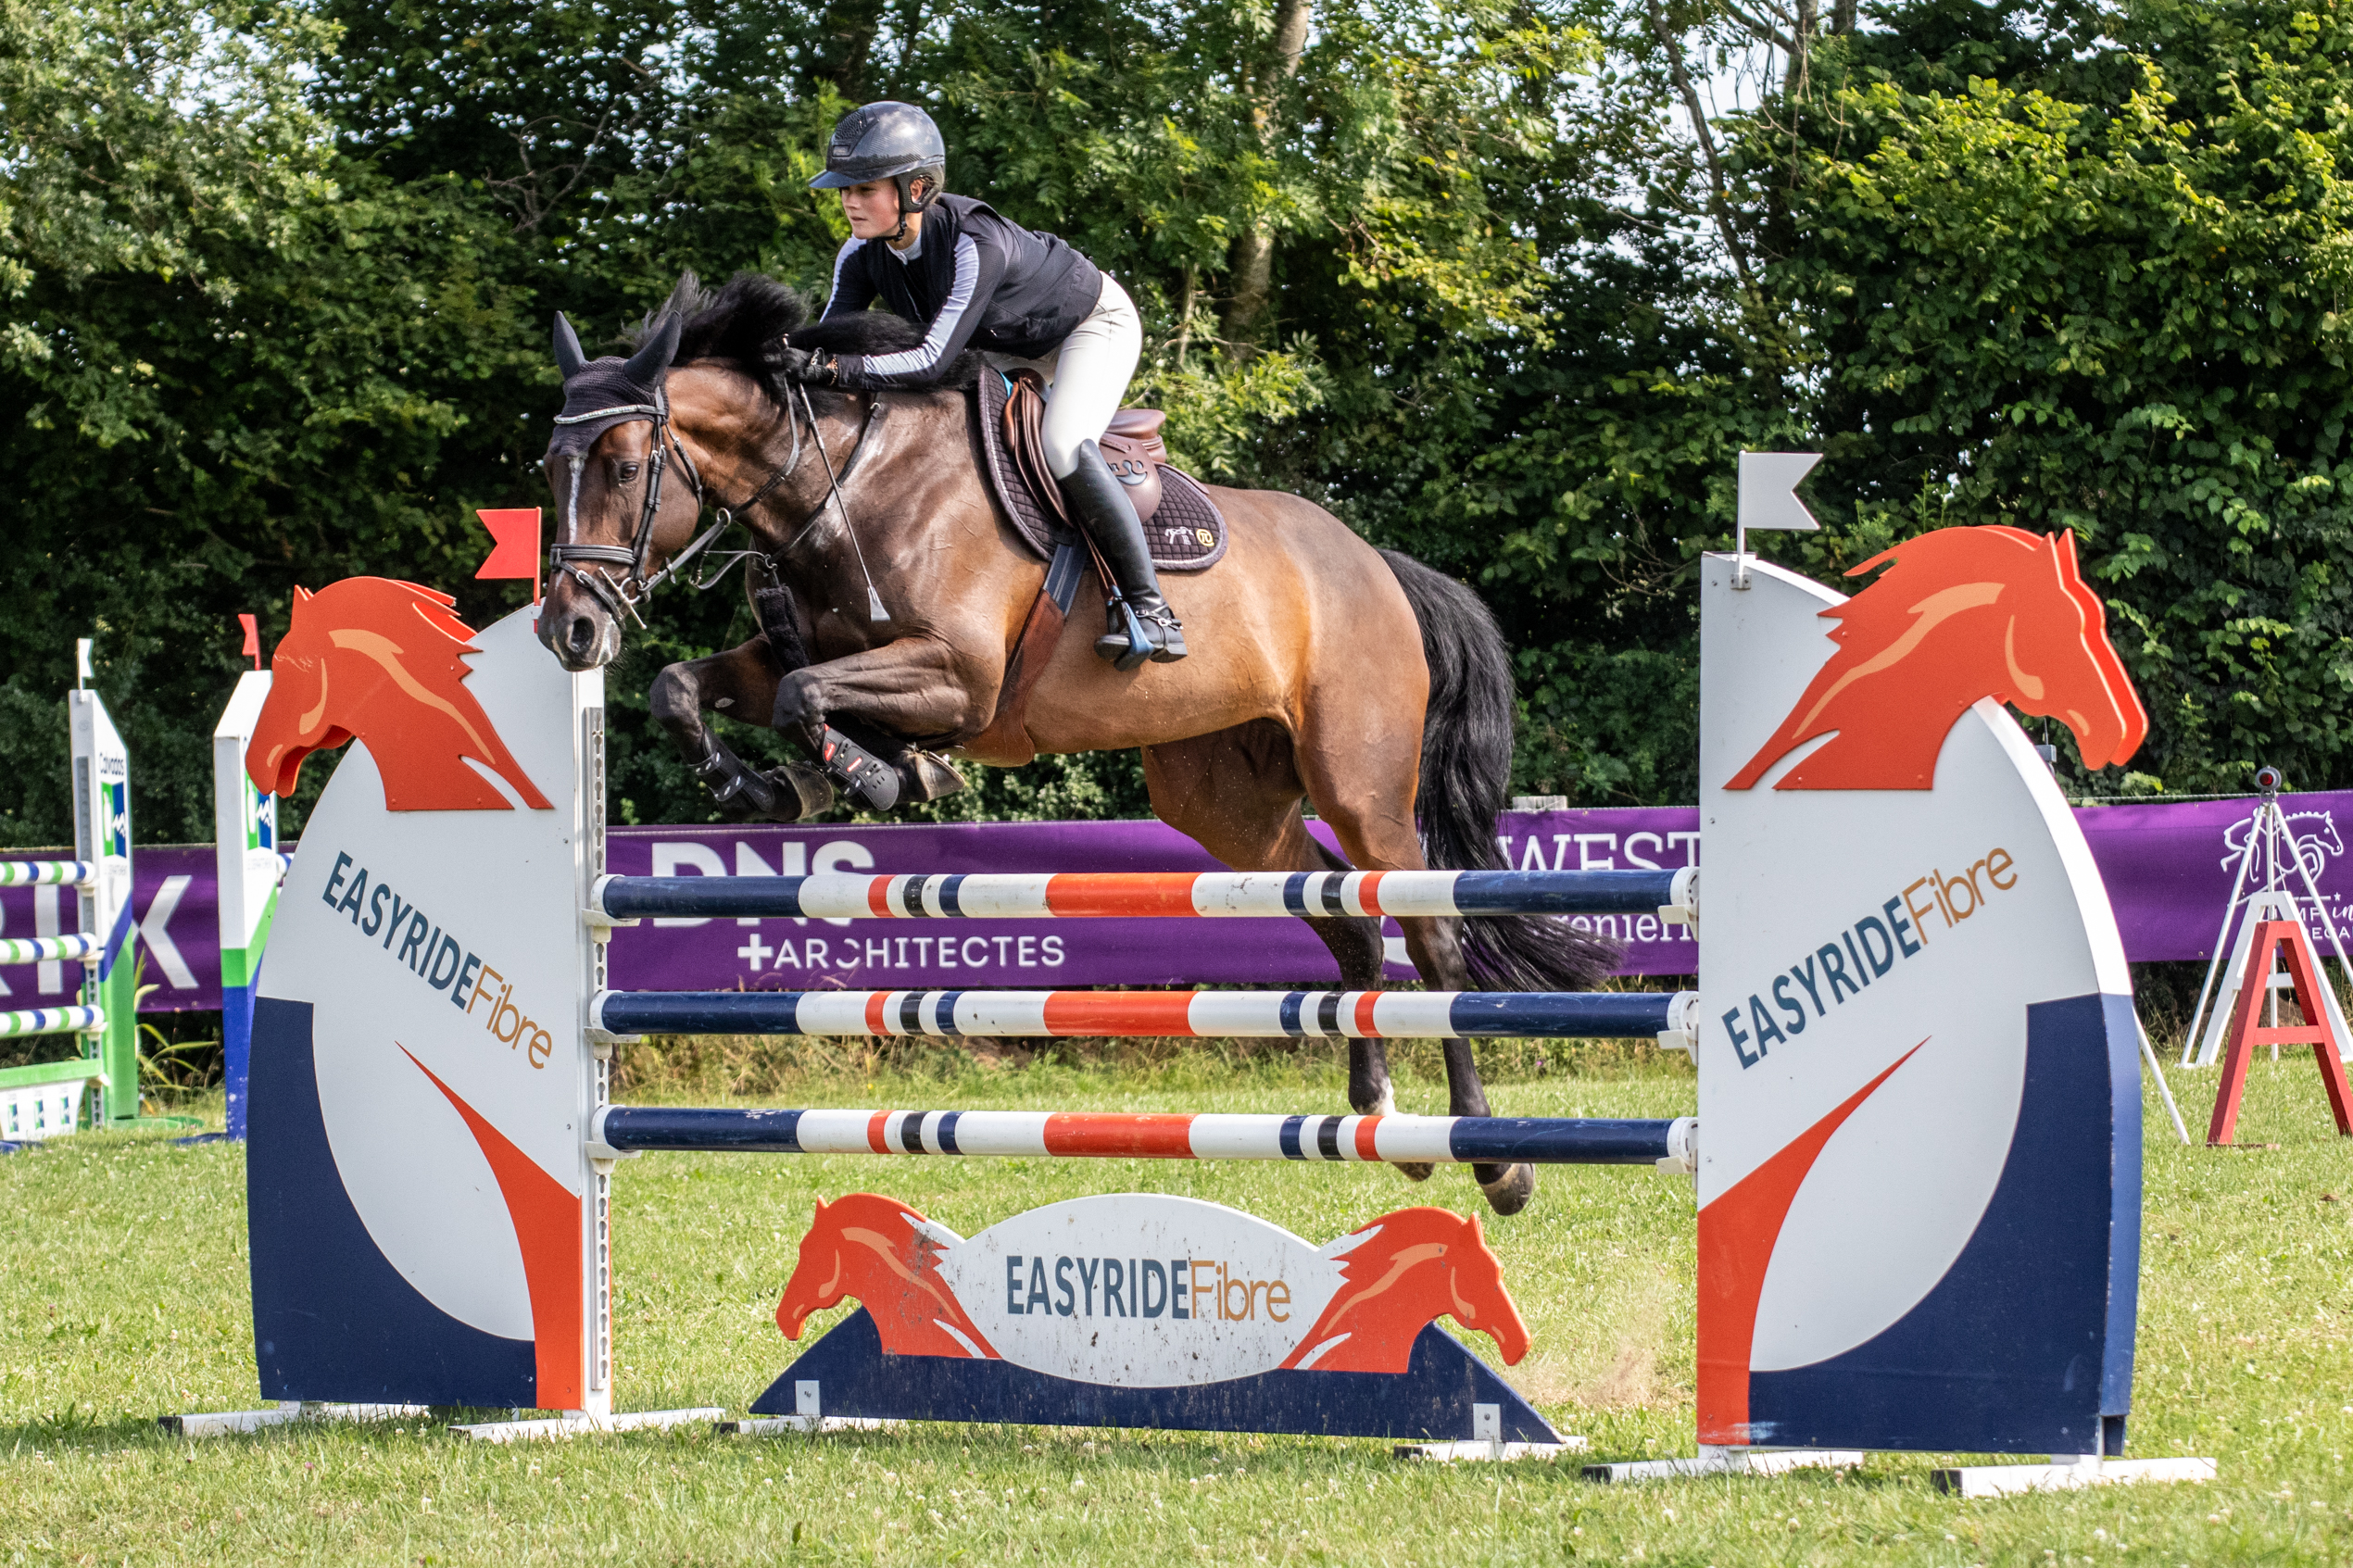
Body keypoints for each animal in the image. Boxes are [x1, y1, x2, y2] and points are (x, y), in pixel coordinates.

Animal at [533, 271, 1617, 1216]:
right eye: (549, 470)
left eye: (625, 467)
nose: (568, 632)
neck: (841, 479)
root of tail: (1375, 565)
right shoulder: (801, 653)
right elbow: (691, 686)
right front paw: (767, 787)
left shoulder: (960, 674)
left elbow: (809, 696)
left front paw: (873, 771)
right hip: (1220, 797)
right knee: (1345, 920)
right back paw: (1382, 1122)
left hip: (1361, 780)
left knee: (1428, 932)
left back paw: (1494, 1163)